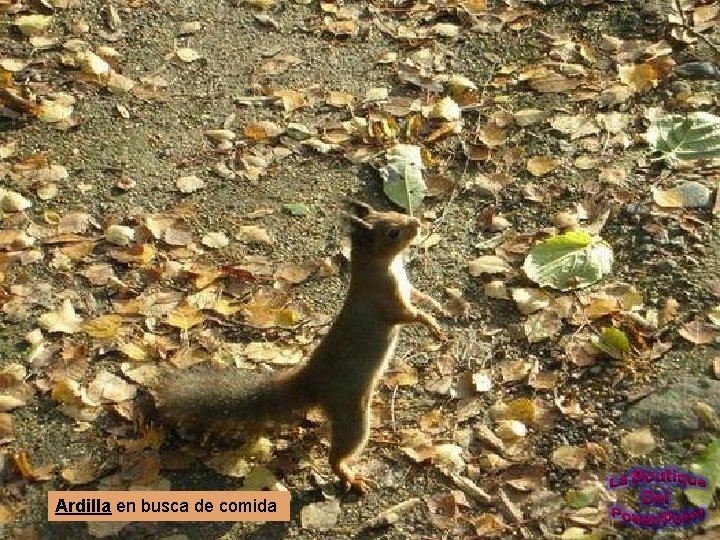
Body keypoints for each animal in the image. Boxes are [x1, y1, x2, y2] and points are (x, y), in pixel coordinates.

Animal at [150, 200, 446, 494]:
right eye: (393, 232)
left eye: (394, 213)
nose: (417, 223)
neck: (385, 266)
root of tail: (313, 381)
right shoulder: (386, 300)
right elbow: (408, 315)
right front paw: (430, 322)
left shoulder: (406, 288)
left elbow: (419, 297)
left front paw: (437, 307)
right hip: (353, 414)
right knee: (338, 453)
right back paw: (350, 477)